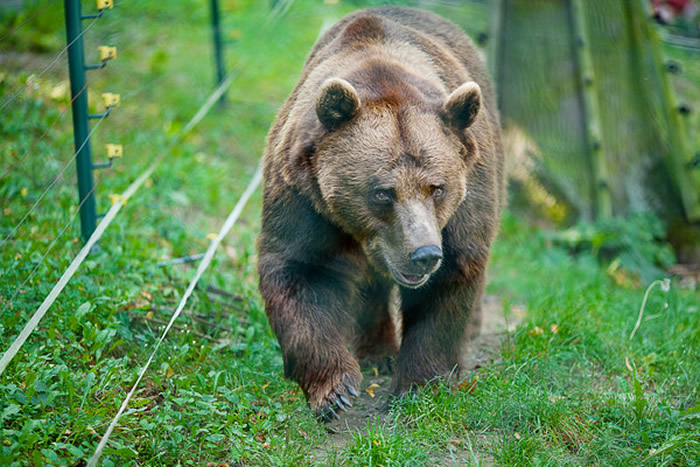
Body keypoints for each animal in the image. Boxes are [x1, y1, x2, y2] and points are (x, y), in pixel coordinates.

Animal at [258, 4, 504, 420]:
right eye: (382, 193)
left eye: (438, 188)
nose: (424, 254)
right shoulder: (303, 196)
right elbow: (299, 270)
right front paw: (335, 390)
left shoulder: (465, 201)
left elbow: (452, 277)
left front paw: (419, 386)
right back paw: (377, 352)